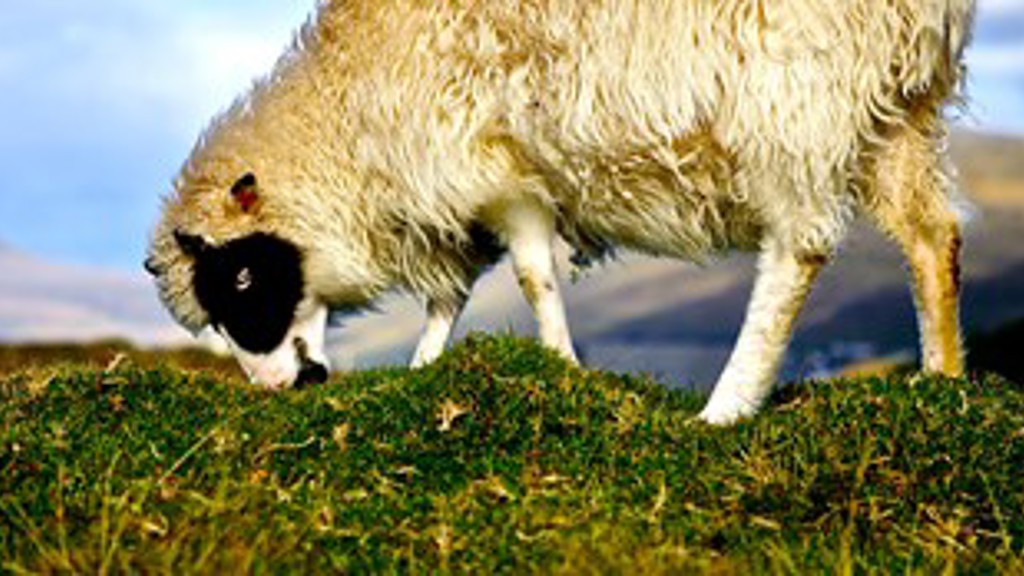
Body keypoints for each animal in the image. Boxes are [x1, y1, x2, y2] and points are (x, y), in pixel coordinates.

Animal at [144, 0, 974, 422]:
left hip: (791, 100)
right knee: (933, 236)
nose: (275, 390)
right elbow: (450, 296)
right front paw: (425, 367)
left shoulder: (498, 167)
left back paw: (729, 403)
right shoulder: (464, 196)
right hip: (897, 110)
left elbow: (534, 277)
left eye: (242, 278)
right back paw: (944, 380)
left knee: (797, 251)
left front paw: (560, 365)